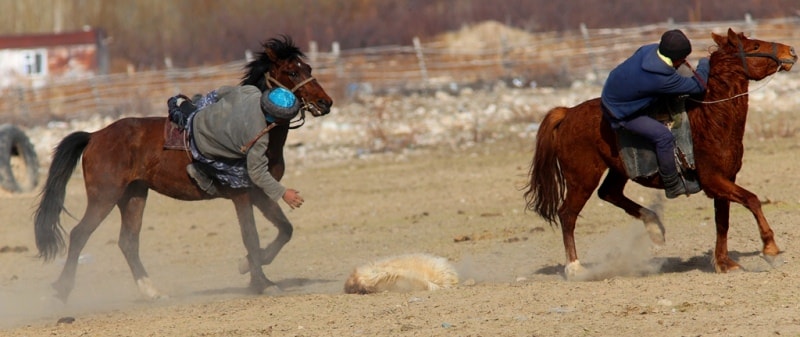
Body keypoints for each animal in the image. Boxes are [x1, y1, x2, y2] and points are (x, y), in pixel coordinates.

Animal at [34, 35, 332, 300]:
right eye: (292, 71)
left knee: (128, 242)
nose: (325, 102)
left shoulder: (259, 193)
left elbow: (284, 229)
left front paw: (248, 266)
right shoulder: (242, 195)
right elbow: (251, 235)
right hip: (105, 197)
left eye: (308, 68)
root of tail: (95, 135)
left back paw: (151, 291)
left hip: (133, 196)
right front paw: (262, 282)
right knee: (79, 234)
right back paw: (63, 289)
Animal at [524, 27, 792, 276]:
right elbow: (751, 200)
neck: (711, 119)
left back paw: (654, 227)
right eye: (755, 46)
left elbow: (722, 221)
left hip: (617, 170)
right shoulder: (714, 180)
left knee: (609, 193)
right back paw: (575, 267)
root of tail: (567, 112)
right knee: (567, 214)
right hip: (582, 178)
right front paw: (770, 250)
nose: (790, 51)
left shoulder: (725, 180)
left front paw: (725, 263)